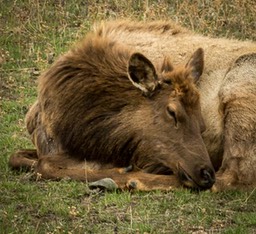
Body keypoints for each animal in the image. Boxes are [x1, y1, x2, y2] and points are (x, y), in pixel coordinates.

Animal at [9, 20, 255, 192]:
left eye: (201, 122)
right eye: (172, 113)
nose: (205, 172)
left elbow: (44, 164)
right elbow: (19, 157)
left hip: (238, 87)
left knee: (230, 178)